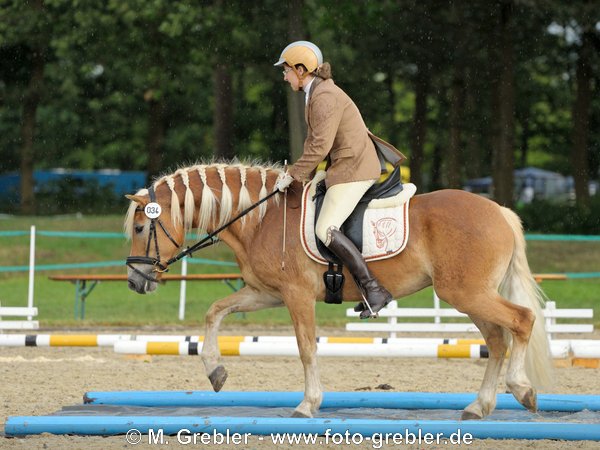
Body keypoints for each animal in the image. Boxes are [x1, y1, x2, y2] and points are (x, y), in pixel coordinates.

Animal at [125, 163, 552, 422]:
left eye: (141, 228)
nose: (134, 281)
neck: (261, 217)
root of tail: (499, 212)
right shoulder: (265, 292)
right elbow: (214, 311)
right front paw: (215, 371)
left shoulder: (296, 295)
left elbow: (306, 348)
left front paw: (307, 404)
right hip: (468, 296)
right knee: (497, 340)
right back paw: (479, 407)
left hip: (466, 293)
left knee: (521, 321)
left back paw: (521, 389)